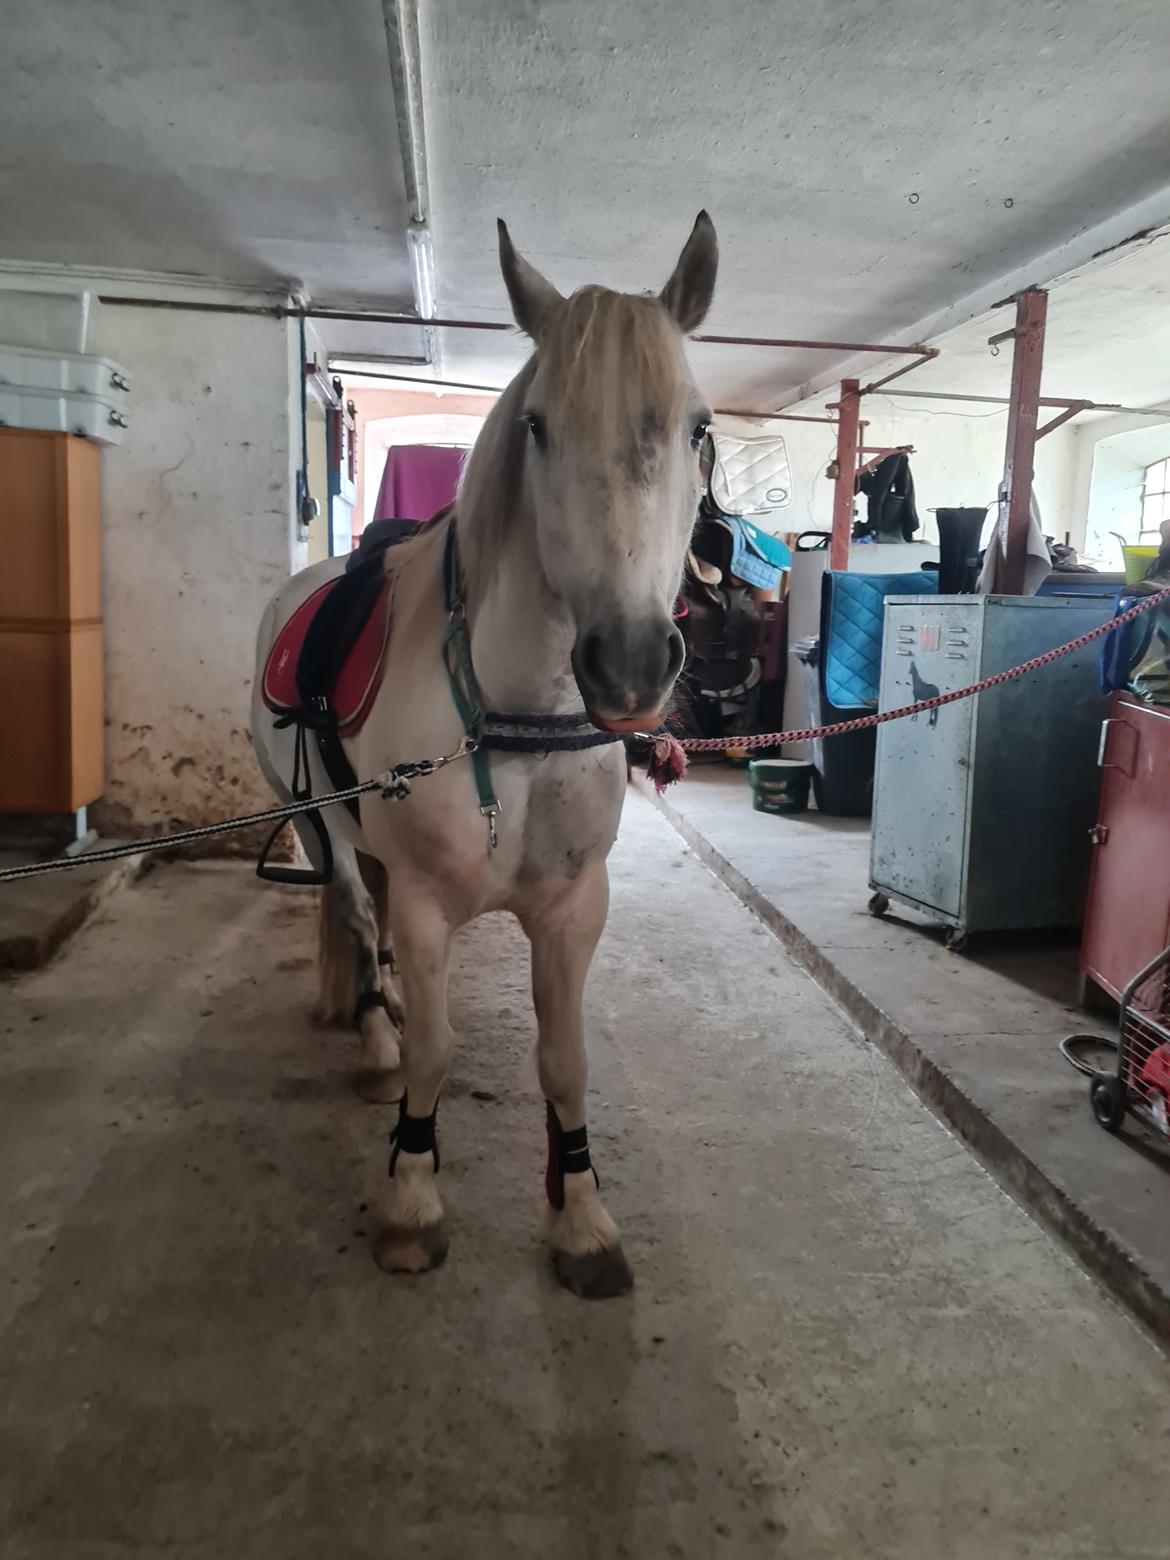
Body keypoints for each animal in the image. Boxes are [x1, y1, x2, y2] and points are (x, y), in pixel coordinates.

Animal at [252, 213, 720, 1297]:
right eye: (540, 425)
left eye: (698, 428)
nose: (630, 664)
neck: (518, 720)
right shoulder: (427, 906)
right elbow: (434, 1052)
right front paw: (410, 1197)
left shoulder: (573, 908)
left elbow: (567, 1064)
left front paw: (581, 1216)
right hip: (317, 819)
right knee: (354, 912)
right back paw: (372, 1034)